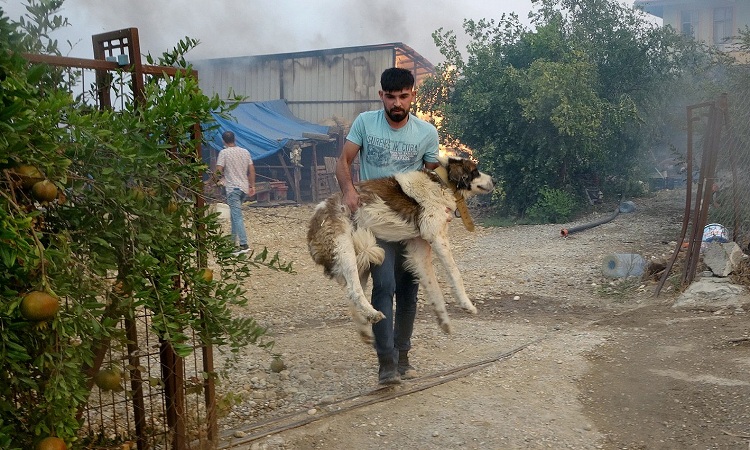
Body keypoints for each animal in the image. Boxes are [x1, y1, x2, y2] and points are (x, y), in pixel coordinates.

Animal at [308, 156, 496, 342]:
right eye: (475, 171)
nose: (494, 180)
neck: (442, 182)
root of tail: (315, 218)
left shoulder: (420, 251)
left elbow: (434, 289)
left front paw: (444, 321)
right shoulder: (437, 237)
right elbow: (455, 274)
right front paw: (466, 304)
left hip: (360, 259)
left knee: (351, 296)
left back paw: (365, 329)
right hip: (346, 251)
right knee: (354, 291)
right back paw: (373, 314)